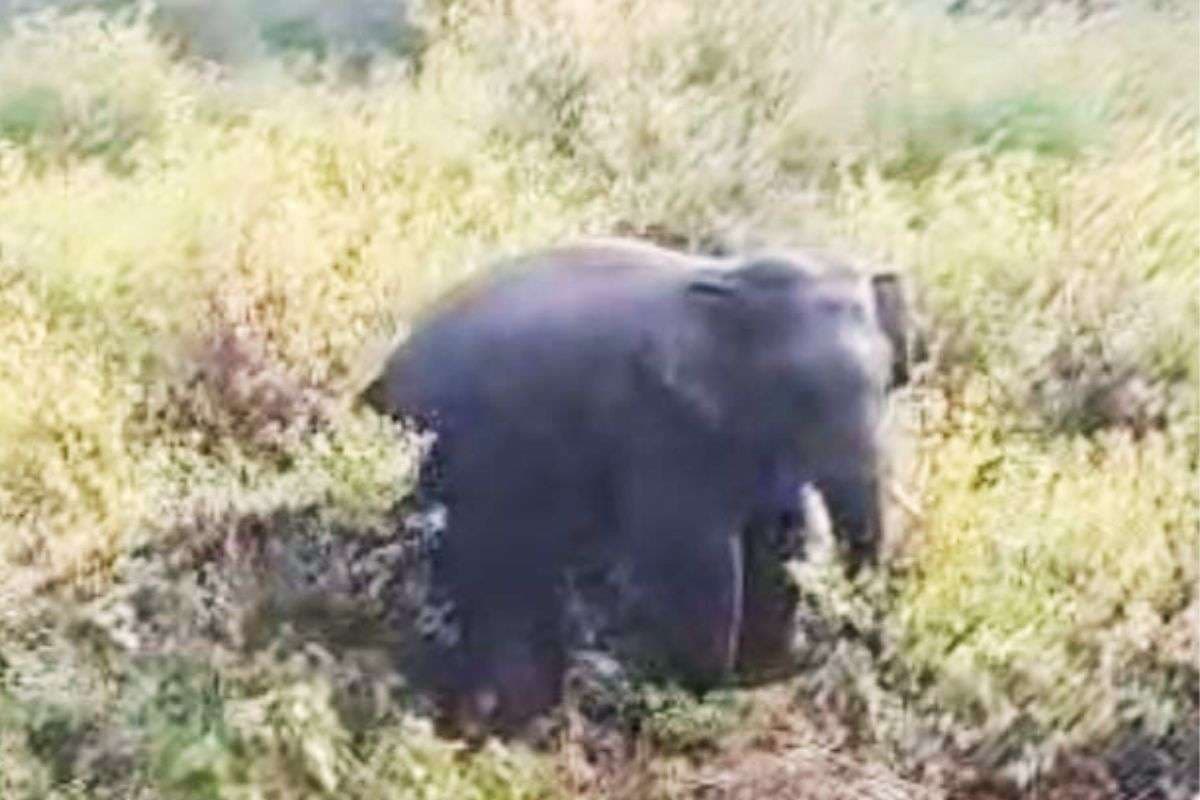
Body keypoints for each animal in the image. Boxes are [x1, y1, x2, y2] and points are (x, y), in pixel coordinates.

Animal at [362, 237, 908, 734]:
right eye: (798, 393)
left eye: (887, 385)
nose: (830, 646)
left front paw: (765, 668)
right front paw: (692, 688)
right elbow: (694, 558)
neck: (726, 276)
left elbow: (777, 540)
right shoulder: (659, 425)